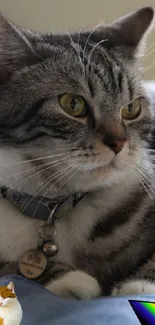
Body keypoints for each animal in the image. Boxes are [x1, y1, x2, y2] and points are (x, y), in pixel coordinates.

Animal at [0, 5, 155, 298]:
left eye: (131, 109)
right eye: (73, 104)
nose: (119, 143)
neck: (57, 206)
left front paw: (140, 286)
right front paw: (72, 280)